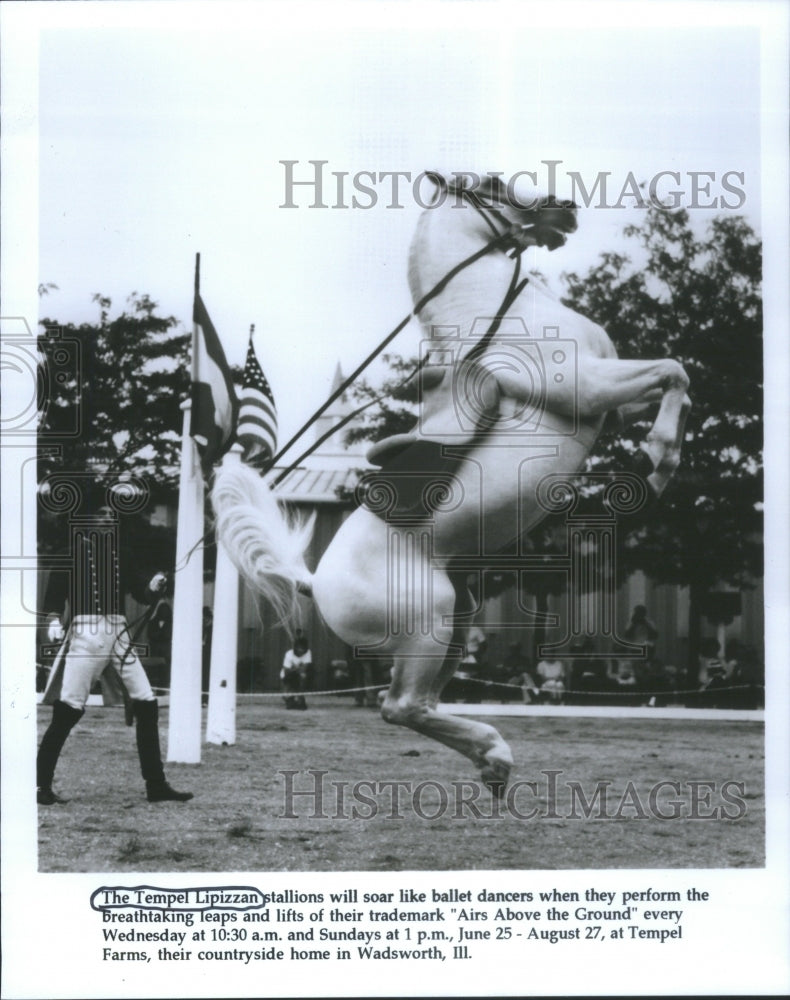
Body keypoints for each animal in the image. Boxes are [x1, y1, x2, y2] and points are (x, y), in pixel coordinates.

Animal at [213, 178, 688, 796]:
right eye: (492, 185)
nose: (566, 210)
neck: (502, 314)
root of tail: (313, 582)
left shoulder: (613, 399)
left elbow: (671, 380)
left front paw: (657, 454)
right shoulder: (586, 388)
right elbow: (674, 370)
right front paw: (658, 460)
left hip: (455, 626)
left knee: (426, 704)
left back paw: (492, 761)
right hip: (430, 626)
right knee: (402, 707)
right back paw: (495, 751)